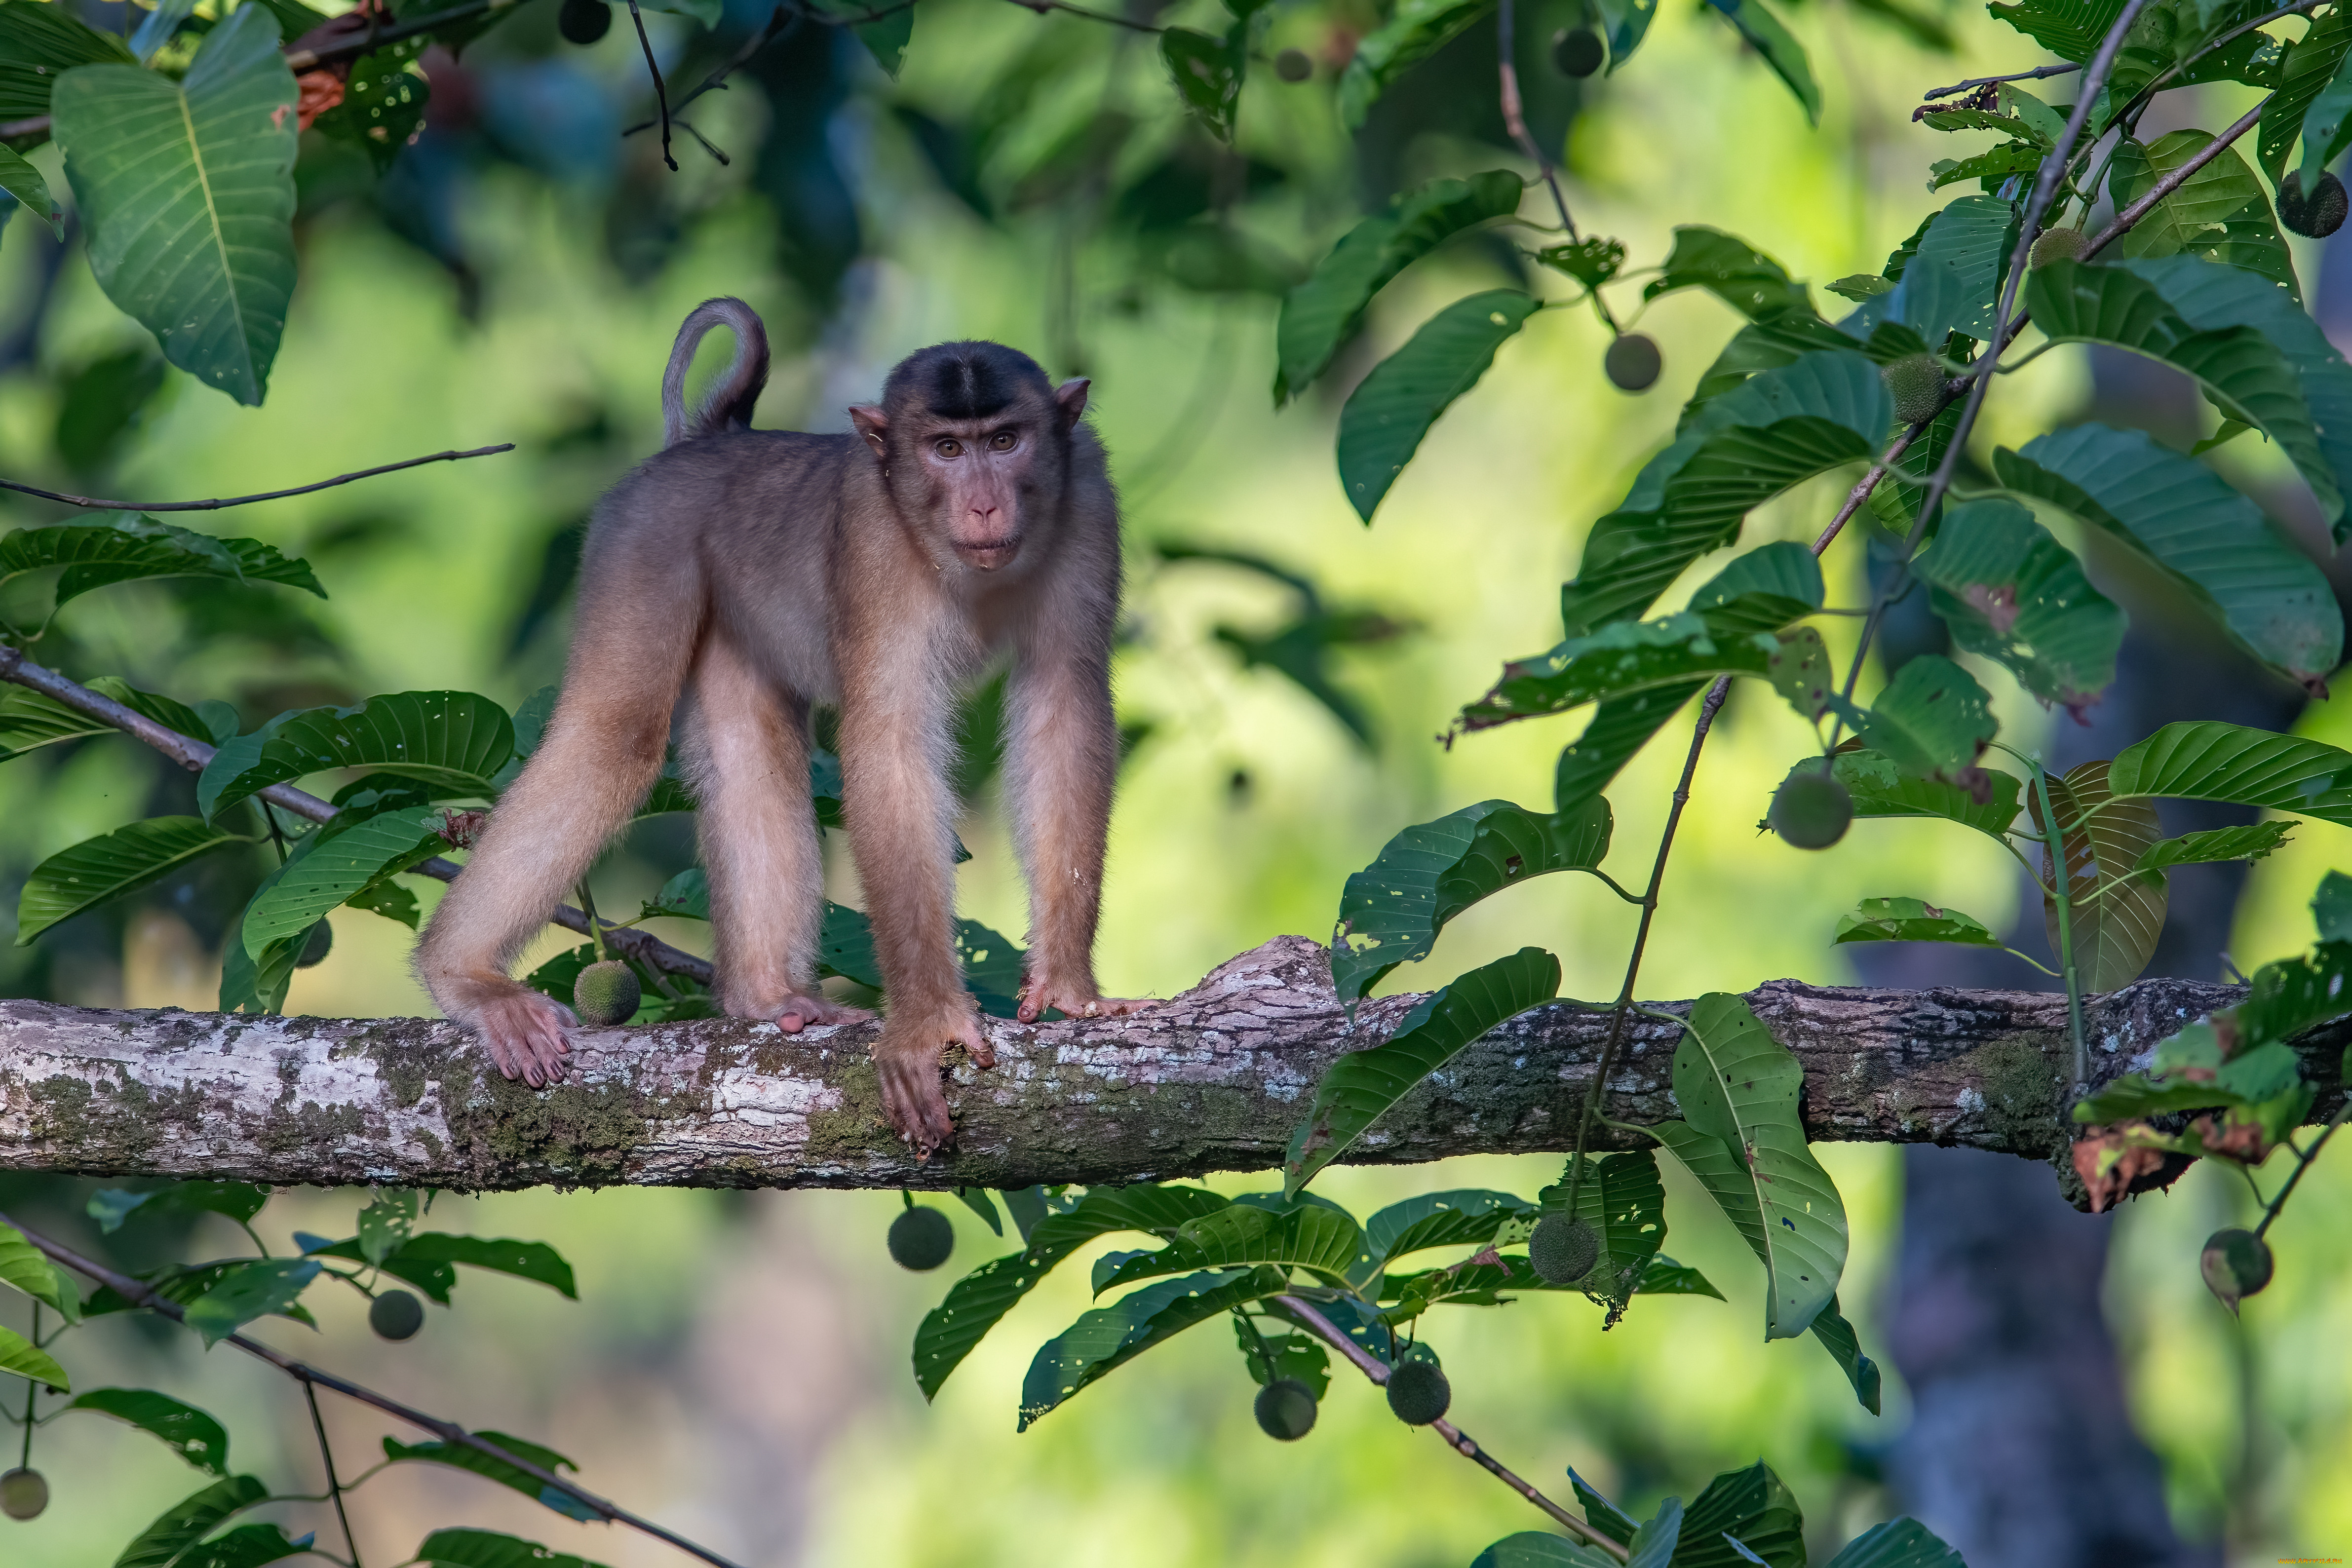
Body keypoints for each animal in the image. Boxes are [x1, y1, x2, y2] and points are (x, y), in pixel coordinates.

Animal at [416, 301, 1148, 1151]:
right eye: (946, 449)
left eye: (1006, 442)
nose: (985, 505)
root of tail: (711, 440)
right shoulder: (872, 535)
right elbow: (889, 740)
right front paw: (927, 1023)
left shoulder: (1089, 497)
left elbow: (1065, 710)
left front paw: (1066, 987)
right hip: (645, 538)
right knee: (615, 733)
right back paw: (466, 978)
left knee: (750, 754)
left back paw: (764, 996)